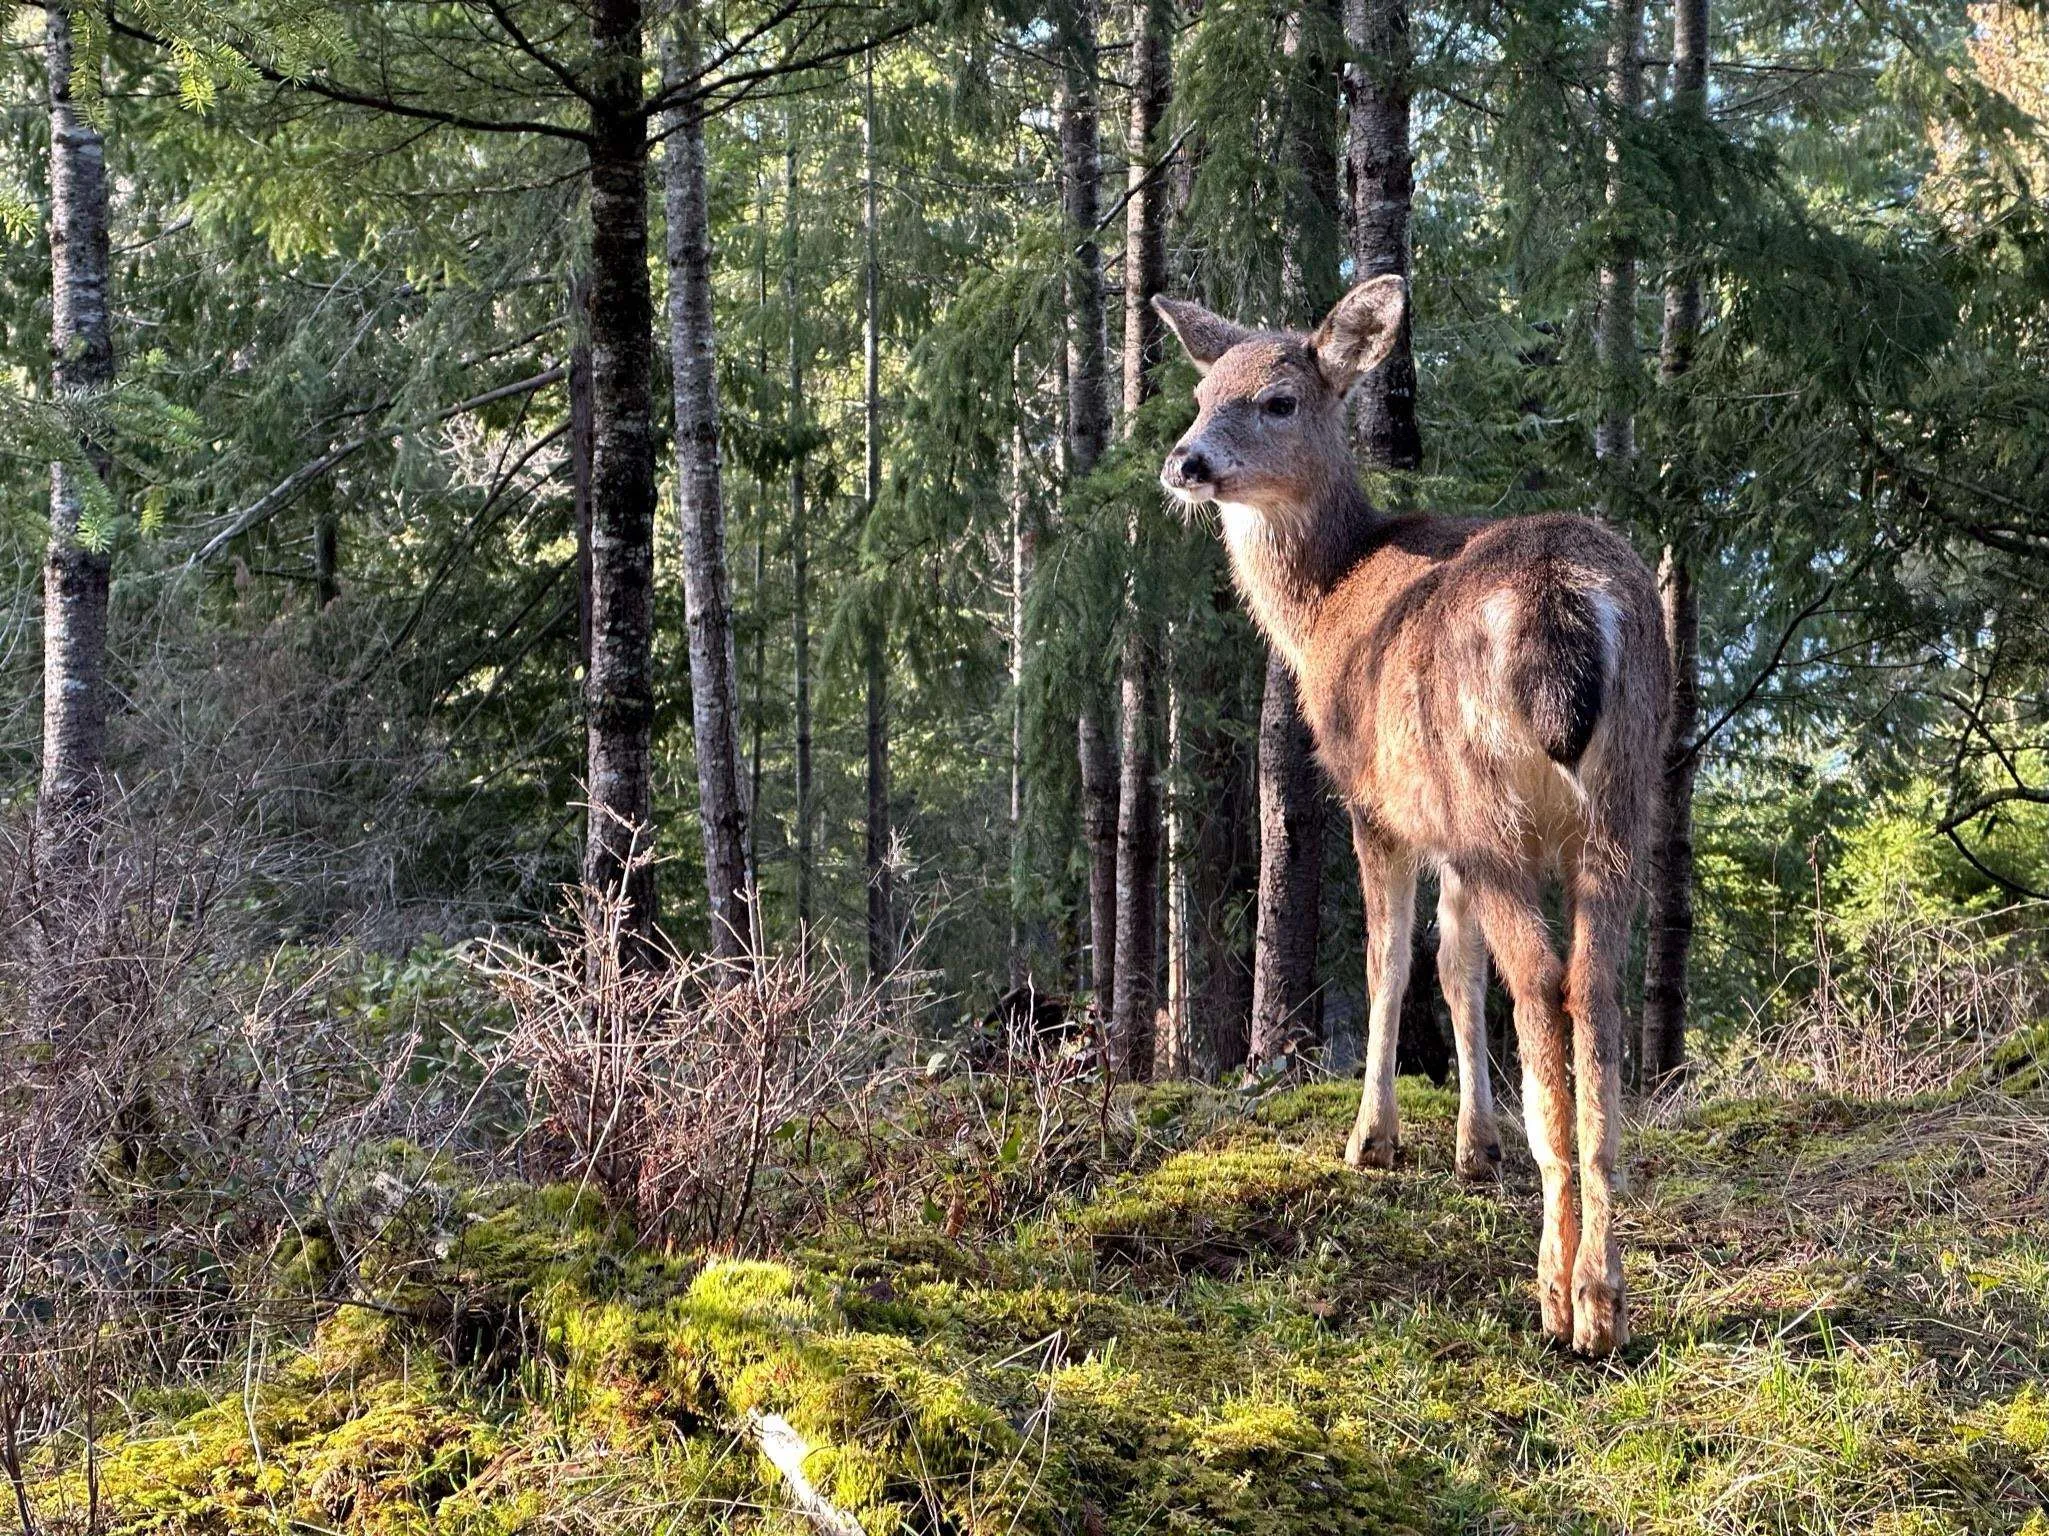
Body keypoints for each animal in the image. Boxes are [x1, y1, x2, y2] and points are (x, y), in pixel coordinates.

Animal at [1155, 276, 1663, 1359]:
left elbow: (1390, 964)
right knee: (1591, 981)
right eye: (1201, 392)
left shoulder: (1377, 805)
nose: (1186, 463)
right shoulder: (1447, 837)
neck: (1321, 602)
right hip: (1624, 790)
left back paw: (1559, 1292)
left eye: (1277, 401)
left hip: (1488, 802)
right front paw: (1476, 1145)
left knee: (1542, 983)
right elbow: (1455, 972)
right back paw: (1606, 1288)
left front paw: (1372, 1137)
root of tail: (1557, 603)